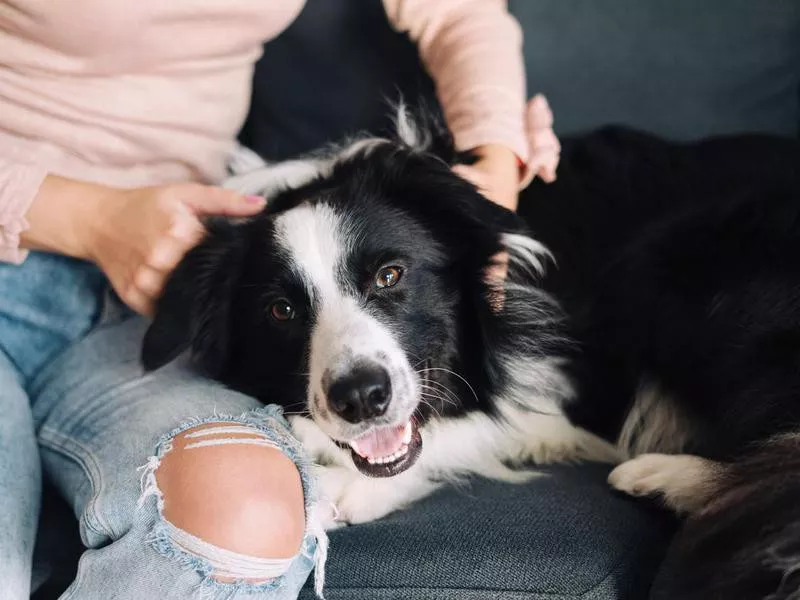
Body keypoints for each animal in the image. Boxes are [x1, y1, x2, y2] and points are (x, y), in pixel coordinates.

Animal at [142, 109, 800, 600]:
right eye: (281, 311)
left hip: (671, 266)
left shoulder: (561, 383)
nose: (361, 398)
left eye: (390, 274)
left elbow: (468, 432)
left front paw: (339, 485)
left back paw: (669, 477)